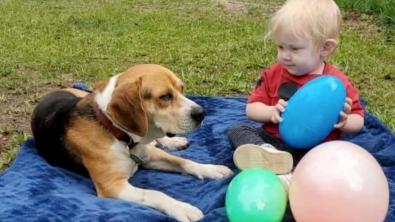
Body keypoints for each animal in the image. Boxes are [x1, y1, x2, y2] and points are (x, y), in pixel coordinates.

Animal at [32, 63, 235, 221]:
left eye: (182, 89)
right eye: (165, 96)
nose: (202, 113)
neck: (117, 132)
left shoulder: (149, 156)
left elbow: (185, 162)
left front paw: (211, 169)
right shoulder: (113, 186)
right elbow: (154, 193)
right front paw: (182, 208)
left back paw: (172, 141)